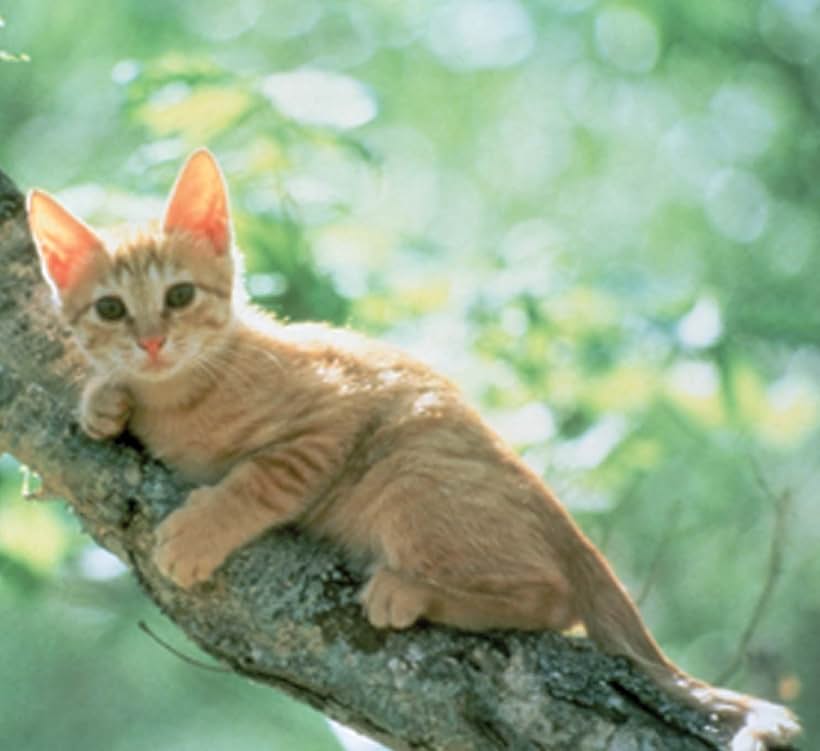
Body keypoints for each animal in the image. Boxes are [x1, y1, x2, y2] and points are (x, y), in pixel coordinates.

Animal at [28, 150, 796, 748]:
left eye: (181, 295)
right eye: (111, 309)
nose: (152, 342)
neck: (189, 389)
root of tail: (562, 521)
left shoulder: (334, 414)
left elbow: (263, 477)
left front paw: (195, 532)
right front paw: (104, 400)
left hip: (409, 469)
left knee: (550, 599)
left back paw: (411, 589)